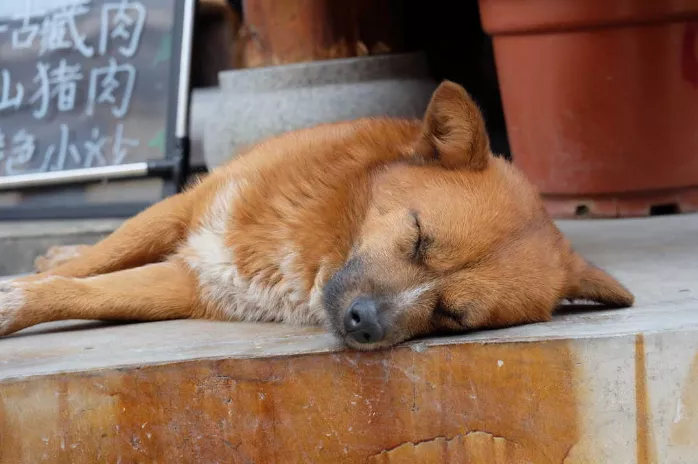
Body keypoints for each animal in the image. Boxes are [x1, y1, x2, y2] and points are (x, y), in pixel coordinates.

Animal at [0, 81, 632, 350]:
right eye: (418, 236)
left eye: (454, 315)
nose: (362, 324)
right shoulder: (183, 211)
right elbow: (81, 272)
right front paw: (20, 291)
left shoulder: (192, 283)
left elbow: (86, 290)